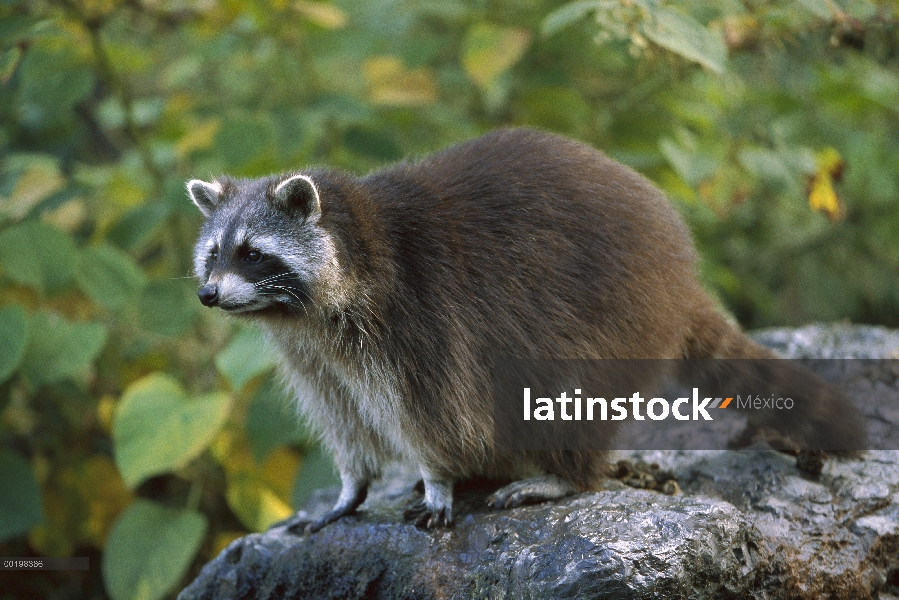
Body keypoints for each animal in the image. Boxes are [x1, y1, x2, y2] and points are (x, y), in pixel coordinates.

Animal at [188, 126, 864, 528]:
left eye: (252, 253)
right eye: (215, 253)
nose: (207, 295)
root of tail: (680, 276)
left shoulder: (418, 323)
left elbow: (437, 413)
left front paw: (437, 479)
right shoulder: (316, 354)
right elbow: (344, 417)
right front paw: (352, 486)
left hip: (610, 318)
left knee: (561, 391)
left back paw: (563, 476)